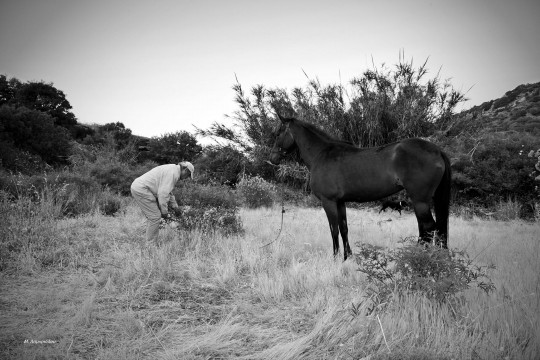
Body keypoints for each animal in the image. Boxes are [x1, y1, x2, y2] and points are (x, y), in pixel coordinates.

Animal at [270, 114, 452, 260]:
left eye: (278, 133)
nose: (272, 159)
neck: (321, 155)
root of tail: (437, 150)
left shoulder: (328, 202)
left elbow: (333, 230)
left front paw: (335, 258)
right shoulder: (340, 202)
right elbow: (344, 228)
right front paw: (347, 257)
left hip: (420, 200)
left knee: (428, 228)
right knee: (428, 229)